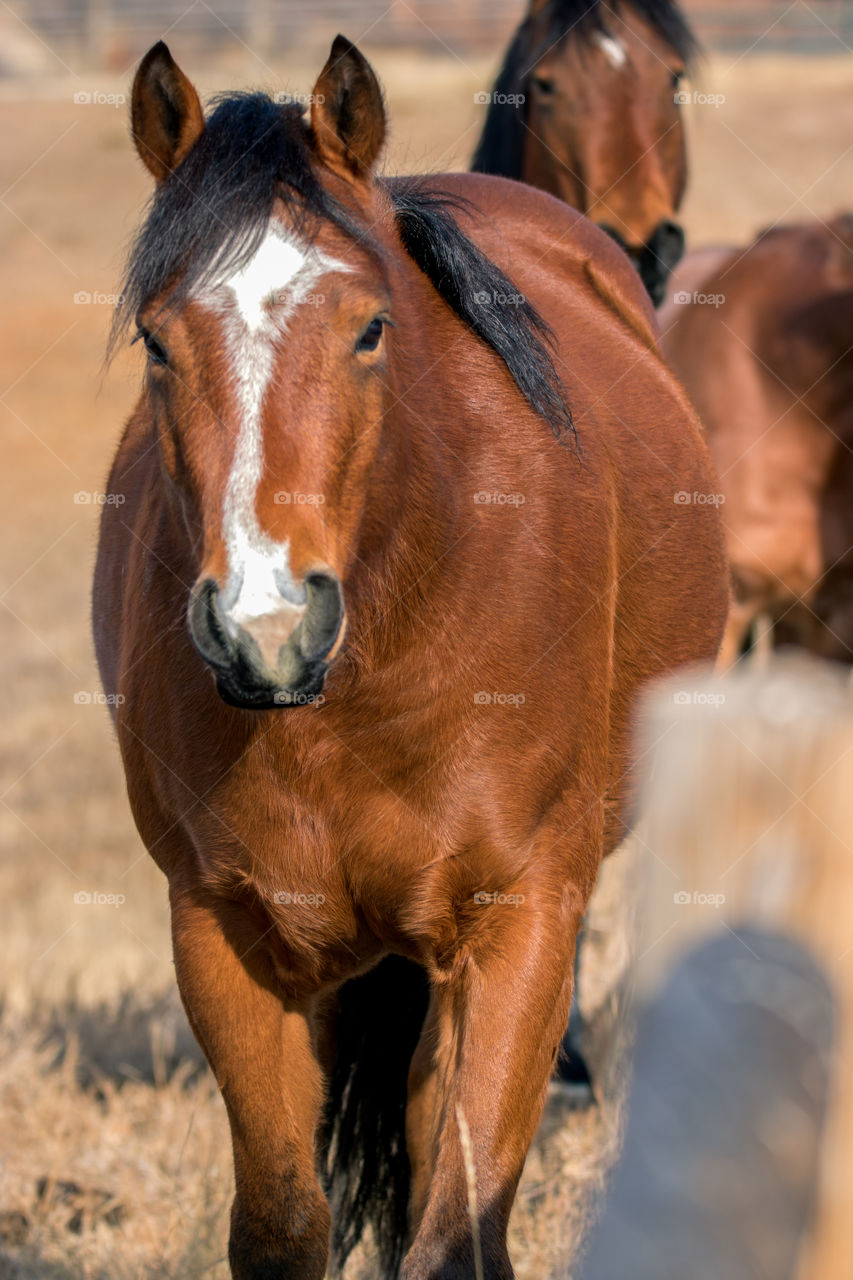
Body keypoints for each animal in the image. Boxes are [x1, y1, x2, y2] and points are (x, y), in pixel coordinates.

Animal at [92, 32, 722, 1280]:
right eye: (154, 340)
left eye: (370, 327)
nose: (266, 624)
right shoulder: (222, 932)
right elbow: (283, 1226)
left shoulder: (520, 923)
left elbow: (454, 1228)